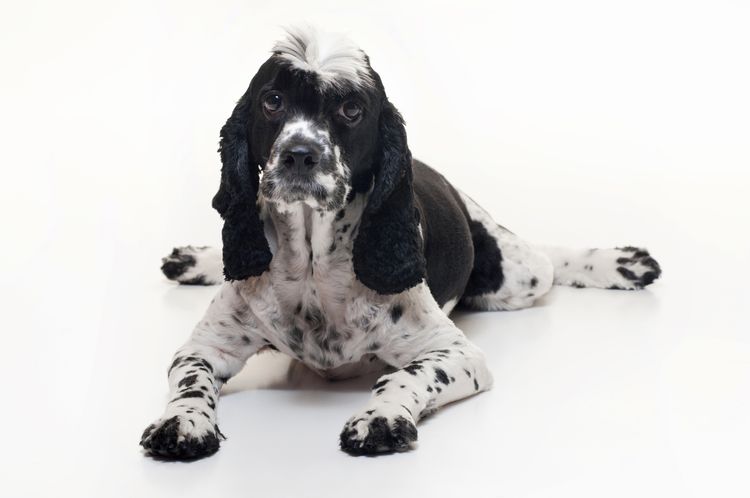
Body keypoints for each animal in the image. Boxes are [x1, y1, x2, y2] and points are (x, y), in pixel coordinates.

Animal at [142, 26, 664, 460]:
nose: (299, 155)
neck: (312, 264)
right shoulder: (207, 345)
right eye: (272, 101)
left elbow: (407, 374)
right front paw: (181, 422)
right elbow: (190, 381)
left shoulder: (455, 353)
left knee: (548, 260)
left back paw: (622, 263)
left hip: (517, 275)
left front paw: (381, 418)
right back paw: (193, 261)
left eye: (351, 109)